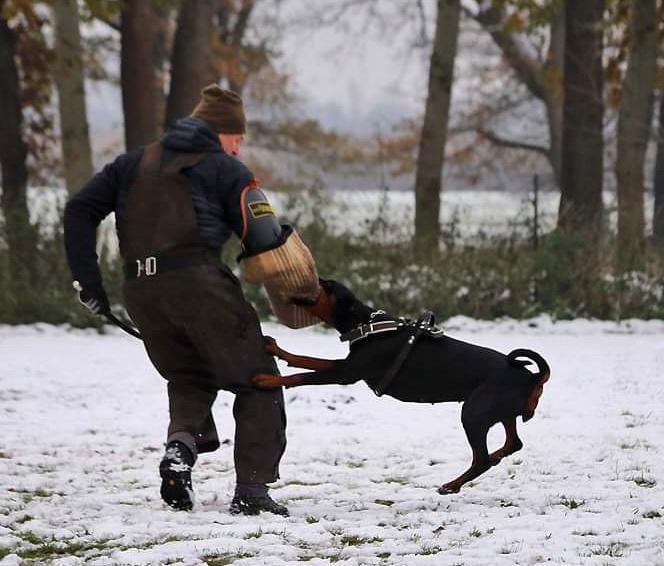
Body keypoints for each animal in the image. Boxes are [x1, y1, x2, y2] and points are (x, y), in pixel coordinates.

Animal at [254, 282, 548, 494]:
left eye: (320, 285)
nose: (291, 288)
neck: (366, 324)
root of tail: (532, 377)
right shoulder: (347, 367)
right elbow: (307, 360)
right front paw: (276, 349)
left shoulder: (346, 374)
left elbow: (303, 375)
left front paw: (267, 380)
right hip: (500, 411)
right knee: (513, 443)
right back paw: (496, 456)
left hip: (474, 413)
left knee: (482, 459)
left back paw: (452, 485)